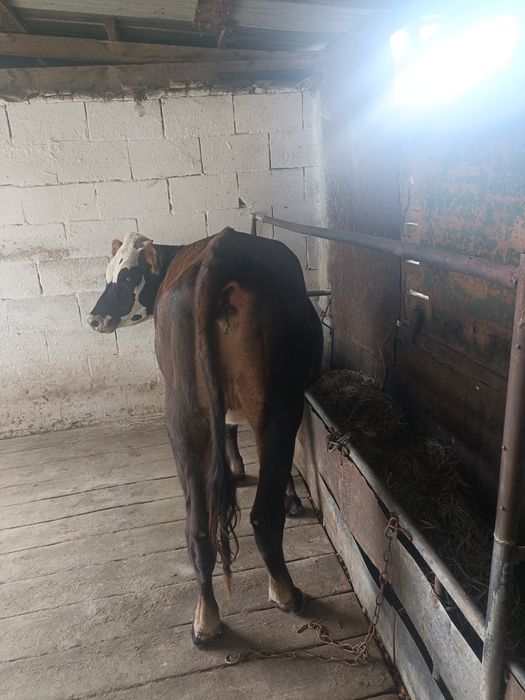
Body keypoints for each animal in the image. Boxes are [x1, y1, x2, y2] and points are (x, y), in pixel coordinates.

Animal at [88, 228, 323, 645]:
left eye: (127, 277)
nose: (94, 318)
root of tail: (221, 249)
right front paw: (290, 497)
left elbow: (228, 430)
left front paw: (235, 471)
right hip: (279, 405)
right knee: (263, 516)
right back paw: (286, 594)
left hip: (182, 416)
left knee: (197, 529)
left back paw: (205, 620)